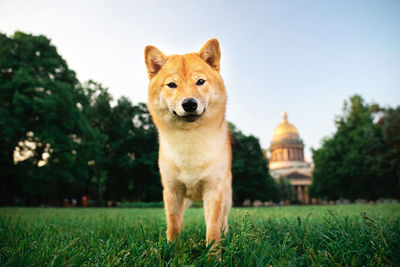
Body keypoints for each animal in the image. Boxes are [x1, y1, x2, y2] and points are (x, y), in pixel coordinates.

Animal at [144, 38, 231, 248]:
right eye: (171, 84)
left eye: (200, 81)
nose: (189, 103)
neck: (190, 143)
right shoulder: (172, 190)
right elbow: (173, 224)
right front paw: (171, 248)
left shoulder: (213, 189)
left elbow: (213, 228)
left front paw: (214, 253)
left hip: (226, 195)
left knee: (223, 220)